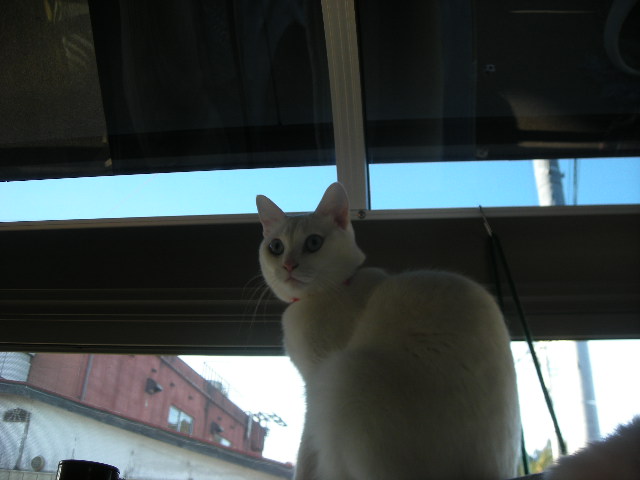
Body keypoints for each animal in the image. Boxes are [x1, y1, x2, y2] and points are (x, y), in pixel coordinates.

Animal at [256, 182, 521, 480]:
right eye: (275, 247)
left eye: (313, 243)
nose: (288, 265)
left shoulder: (315, 383)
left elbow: (306, 449)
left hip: (345, 375)